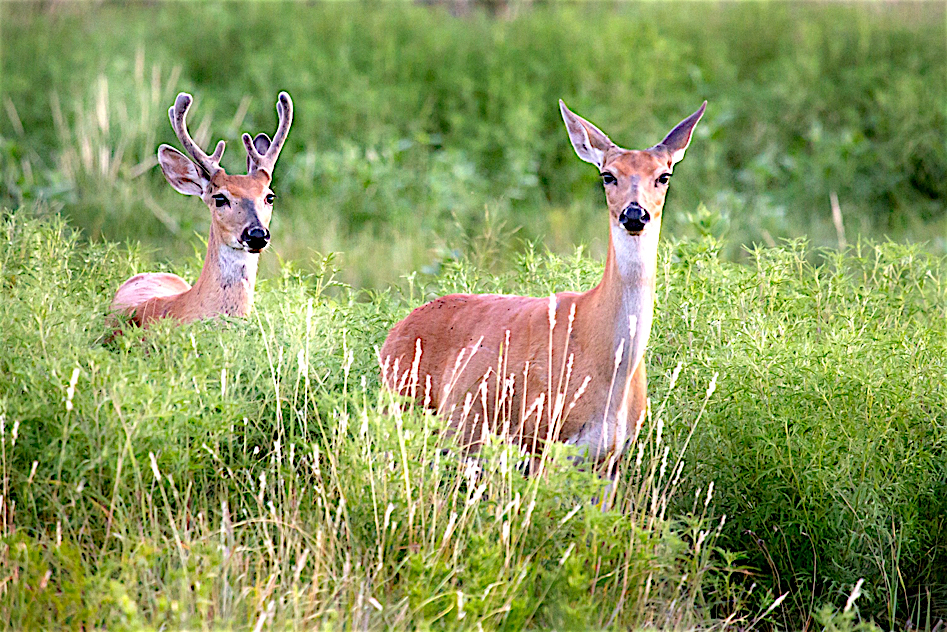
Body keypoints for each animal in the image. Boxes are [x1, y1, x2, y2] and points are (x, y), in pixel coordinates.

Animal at [380, 99, 704, 464]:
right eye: (607, 175)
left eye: (663, 176)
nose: (634, 214)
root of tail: (394, 331)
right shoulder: (538, 439)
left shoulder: (612, 456)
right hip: (403, 409)